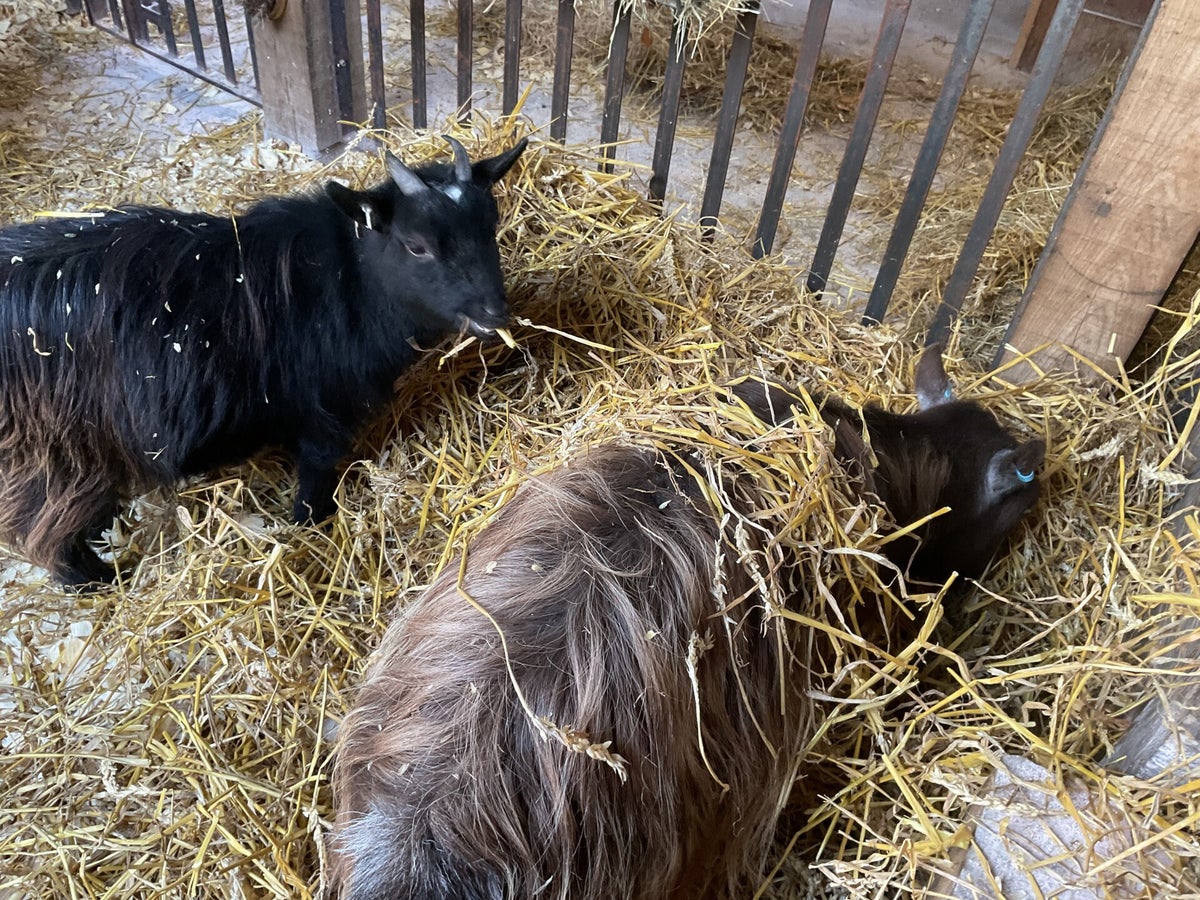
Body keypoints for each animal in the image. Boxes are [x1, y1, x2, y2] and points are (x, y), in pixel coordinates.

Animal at [0, 136, 527, 585]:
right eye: (416, 246)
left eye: (491, 225)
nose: (493, 314)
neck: (346, 277)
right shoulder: (322, 412)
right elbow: (315, 478)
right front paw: (310, 528)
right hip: (60, 451)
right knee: (40, 525)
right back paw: (92, 579)